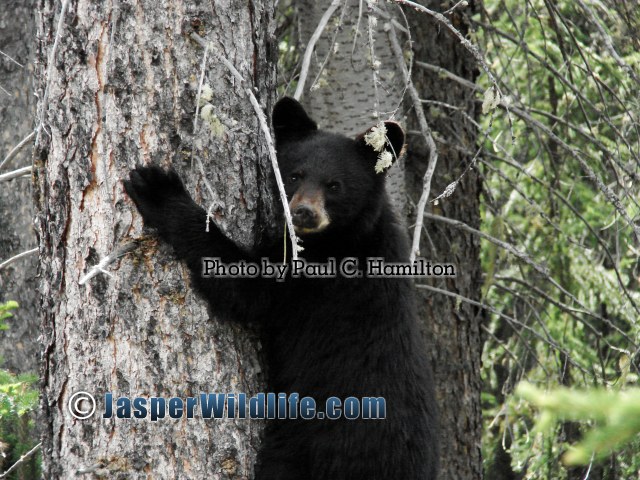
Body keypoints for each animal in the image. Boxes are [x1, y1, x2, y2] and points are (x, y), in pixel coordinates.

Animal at [123, 97, 439, 480]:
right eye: (294, 175)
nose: (303, 212)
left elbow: (246, 289)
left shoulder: (311, 280)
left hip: (306, 445)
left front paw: (159, 190)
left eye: (334, 185)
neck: (347, 236)